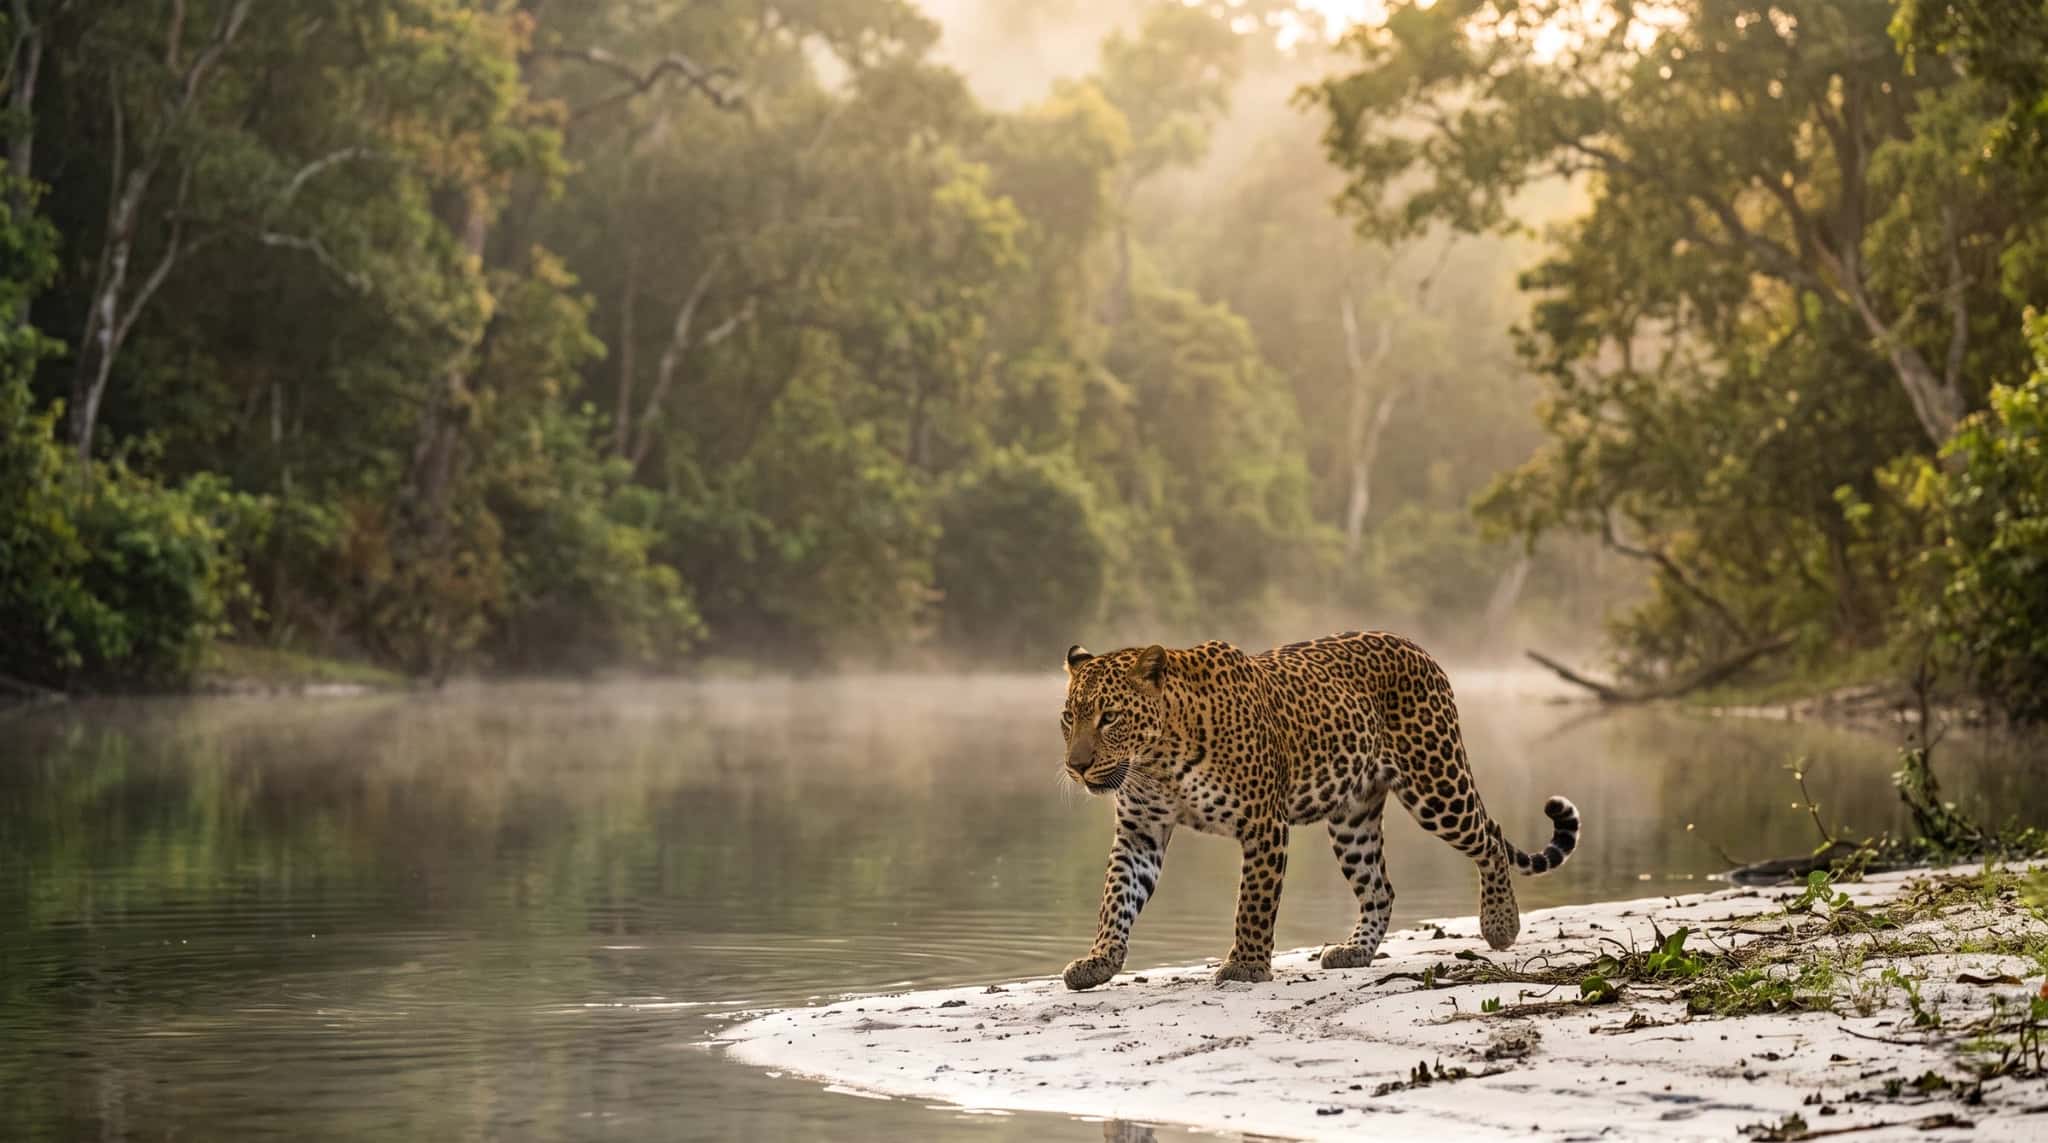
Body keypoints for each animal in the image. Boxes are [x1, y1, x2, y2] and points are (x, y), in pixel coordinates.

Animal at [1056, 631, 1581, 990]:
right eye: (1068, 717)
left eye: (1109, 717)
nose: (1075, 767)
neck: (1157, 760)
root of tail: (1417, 647)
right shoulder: (1140, 831)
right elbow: (1116, 898)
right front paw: (1098, 961)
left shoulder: (1264, 823)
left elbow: (1253, 902)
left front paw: (1246, 965)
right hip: (1353, 819)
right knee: (1381, 888)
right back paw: (1354, 952)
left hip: (1436, 784)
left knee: (1489, 838)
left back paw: (1500, 925)